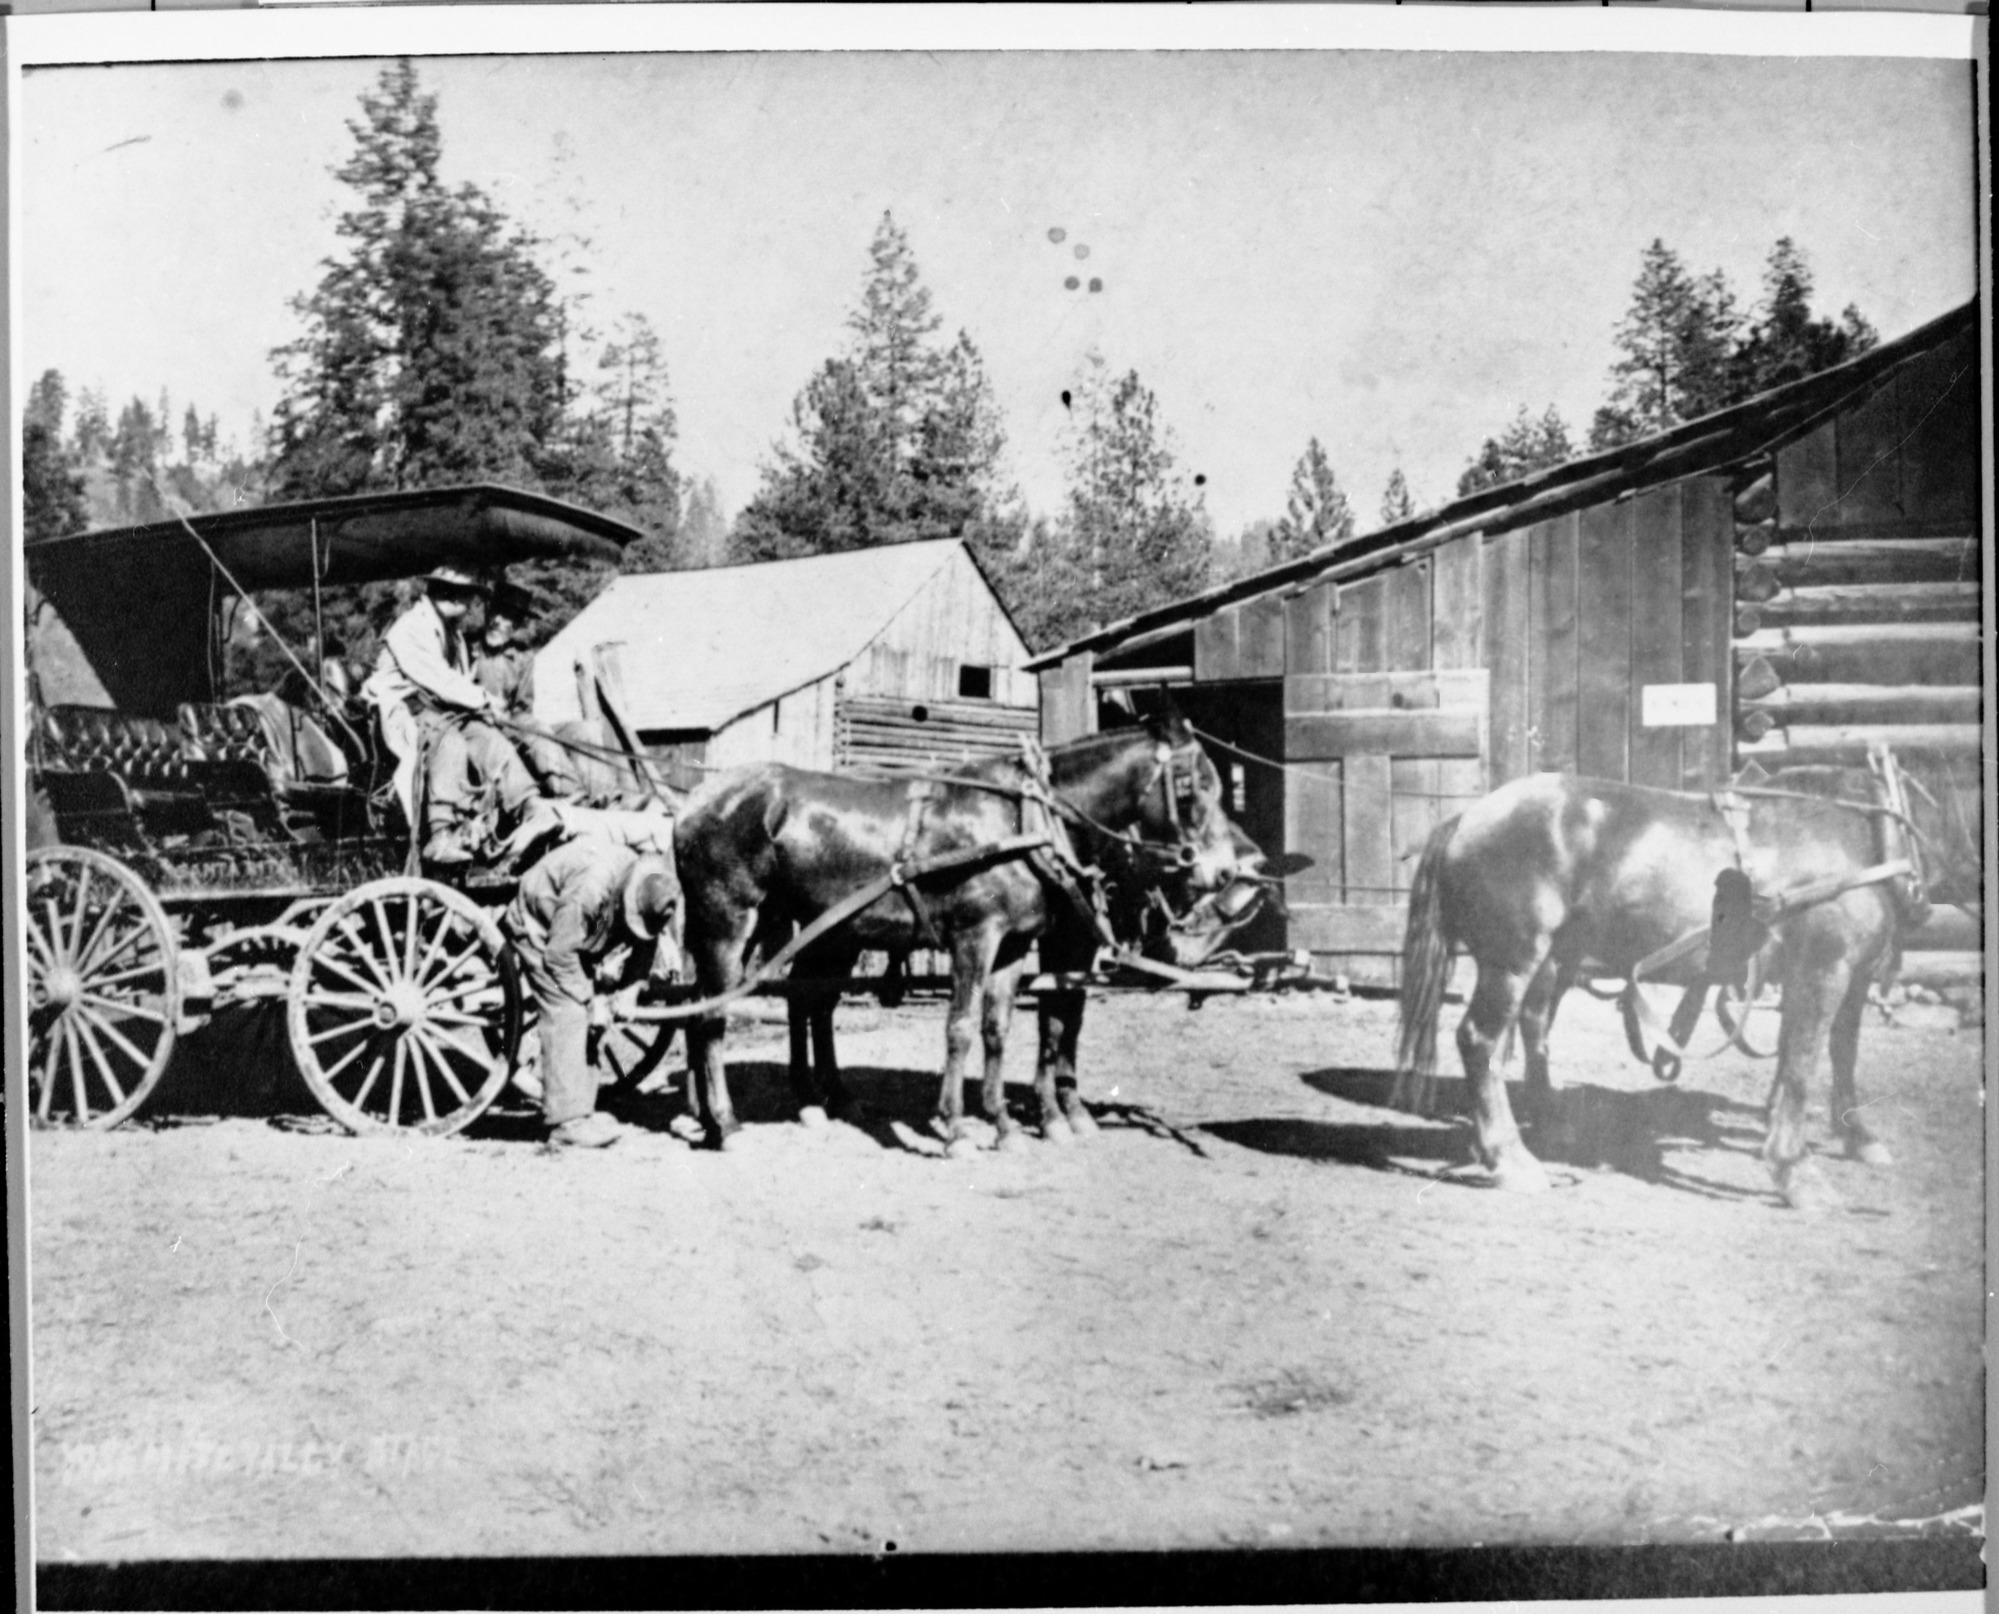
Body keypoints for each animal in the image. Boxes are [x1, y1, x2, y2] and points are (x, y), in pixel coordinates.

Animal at [679, 716, 1255, 1152]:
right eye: (1194, 787)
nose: (1227, 871)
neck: (1023, 822)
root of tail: (696, 801)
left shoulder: (1015, 945)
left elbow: (1002, 1027)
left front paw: (1005, 1124)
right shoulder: (976, 937)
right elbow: (963, 1027)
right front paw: (956, 1127)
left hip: (811, 928)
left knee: (778, 1003)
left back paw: (754, 1109)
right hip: (728, 922)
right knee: (712, 1016)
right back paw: (726, 1122)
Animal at [1391, 748, 1967, 1216]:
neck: (1862, 832)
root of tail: (1466, 816)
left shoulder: (1850, 976)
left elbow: (1836, 1055)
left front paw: (1853, 1139)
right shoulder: (1823, 971)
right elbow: (1803, 1067)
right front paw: (1797, 1174)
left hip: (1552, 959)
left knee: (1528, 1032)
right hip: (1513, 958)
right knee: (1481, 1041)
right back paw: (1512, 1160)